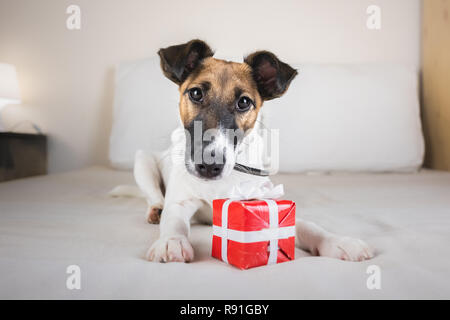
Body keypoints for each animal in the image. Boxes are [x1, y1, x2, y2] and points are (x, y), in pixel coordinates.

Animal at [116, 40, 372, 264]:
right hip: (143, 161)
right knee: (154, 196)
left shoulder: (266, 203)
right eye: (196, 93)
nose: (210, 165)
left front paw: (339, 242)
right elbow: (173, 220)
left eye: (244, 102)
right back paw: (155, 210)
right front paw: (172, 241)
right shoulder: (180, 201)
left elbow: (309, 226)